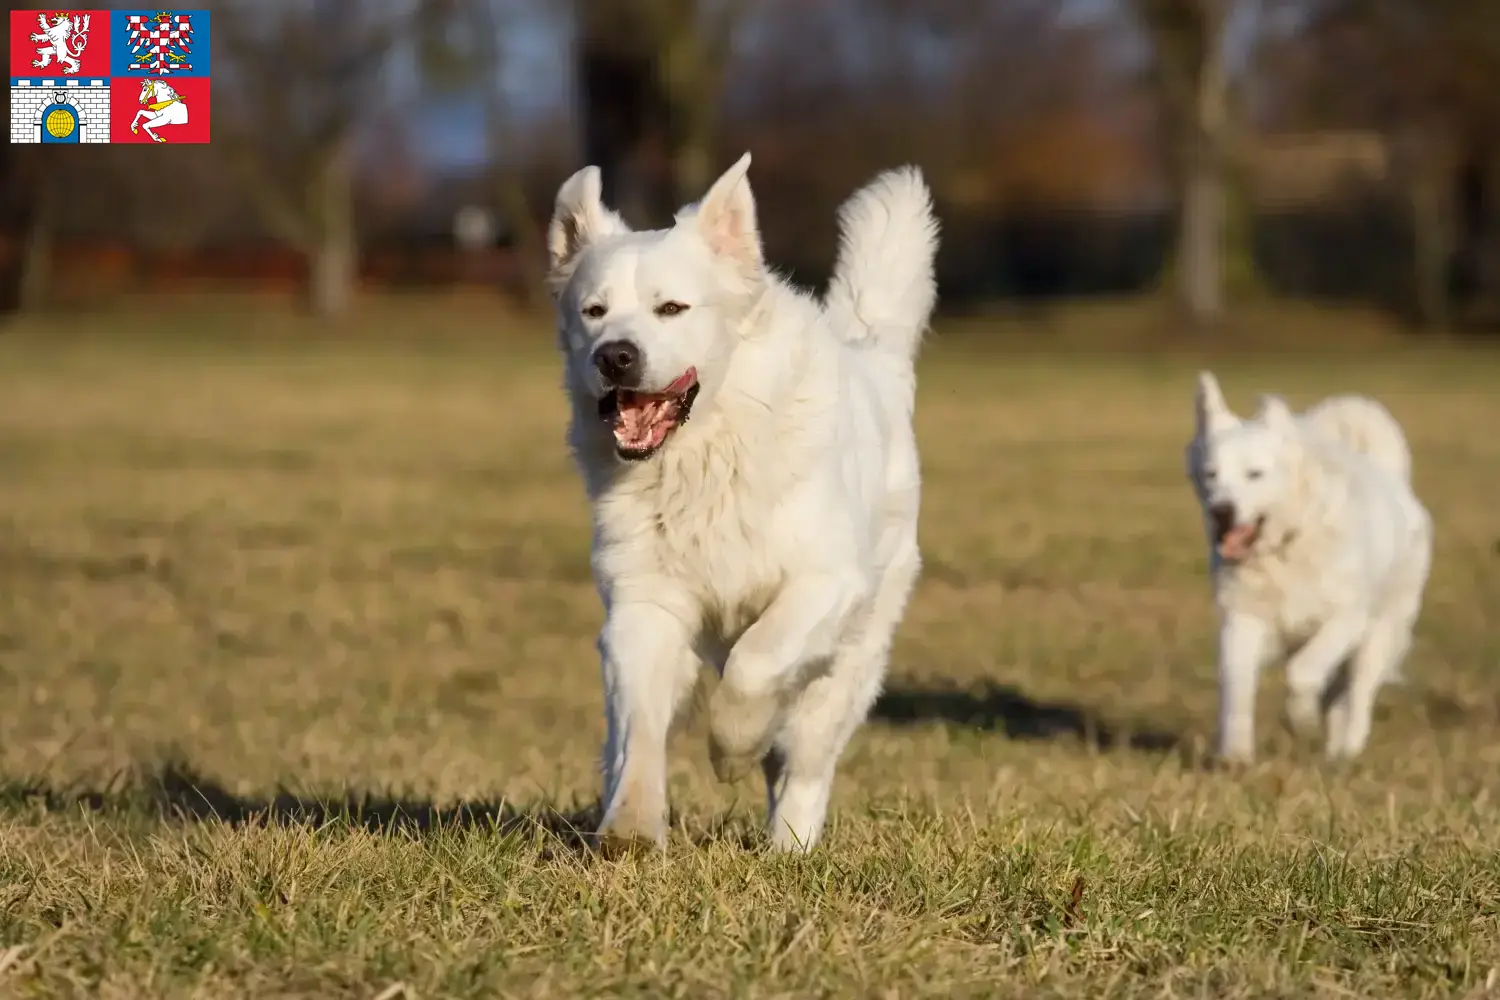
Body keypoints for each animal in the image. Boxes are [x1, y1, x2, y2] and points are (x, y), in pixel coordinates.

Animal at [540, 152, 936, 851]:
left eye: (672, 308)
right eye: (594, 310)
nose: (615, 356)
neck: (703, 457)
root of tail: (875, 361)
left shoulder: (824, 582)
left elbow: (755, 666)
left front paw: (732, 750)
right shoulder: (644, 604)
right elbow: (640, 729)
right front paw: (631, 827)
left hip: (850, 663)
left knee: (804, 764)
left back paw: (790, 849)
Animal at [1182, 371, 1428, 761]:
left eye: (1255, 474)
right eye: (1211, 474)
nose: (1221, 511)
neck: (1286, 546)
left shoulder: (1346, 619)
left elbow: (1302, 673)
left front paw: (1302, 719)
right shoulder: (1242, 621)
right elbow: (1236, 687)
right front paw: (1236, 754)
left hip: (1378, 635)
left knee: (1359, 695)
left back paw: (1347, 750)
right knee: (1339, 698)